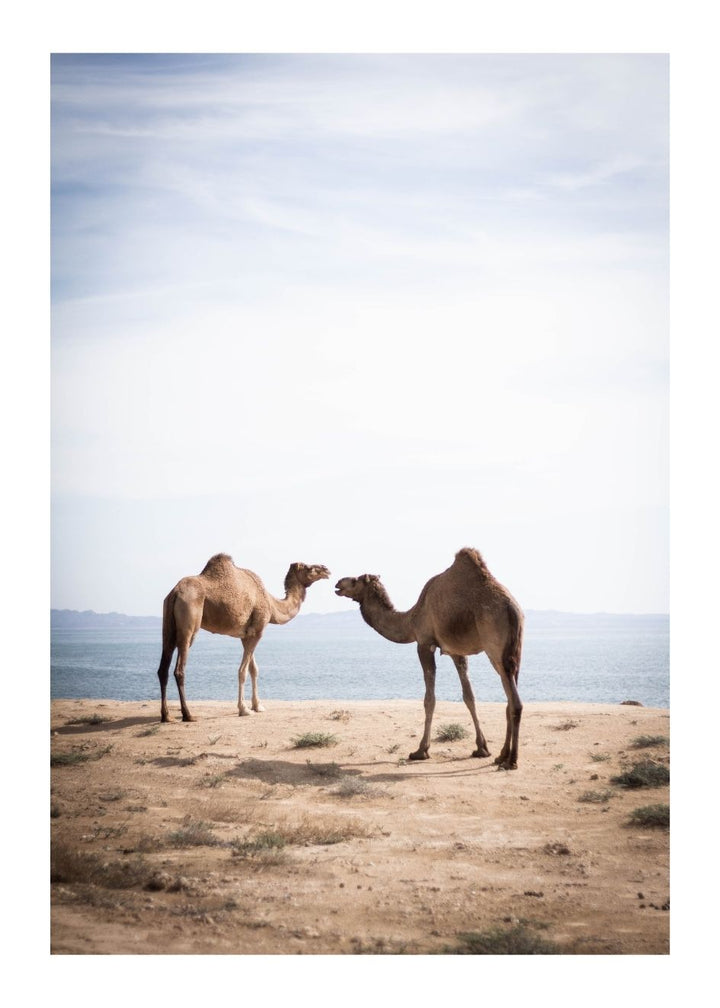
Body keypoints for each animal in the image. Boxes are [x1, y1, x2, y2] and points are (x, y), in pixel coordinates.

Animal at [157, 554, 330, 723]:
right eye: (308, 567)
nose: (326, 569)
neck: (271, 603)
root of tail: (175, 592)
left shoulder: (247, 635)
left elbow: (254, 669)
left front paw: (257, 705)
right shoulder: (258, 630)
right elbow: (243, 671)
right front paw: (244, 709)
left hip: (168, 625)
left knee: (163, 668)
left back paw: (166, 716)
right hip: (189, 623)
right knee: (179, 669)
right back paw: (188, 715)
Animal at [335, 547, 524, 768]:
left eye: (355, 580)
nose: (338, 583)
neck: (411, 619)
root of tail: (512, 610)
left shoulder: (425, 643)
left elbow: (429, 699)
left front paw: (420, 750)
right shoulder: (456, 651)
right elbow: (469, 696)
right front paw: (482, 748)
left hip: (495, 649)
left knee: (515, 702)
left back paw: (511, 760)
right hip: (515, 652)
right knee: (510, 698)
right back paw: (501, 755)